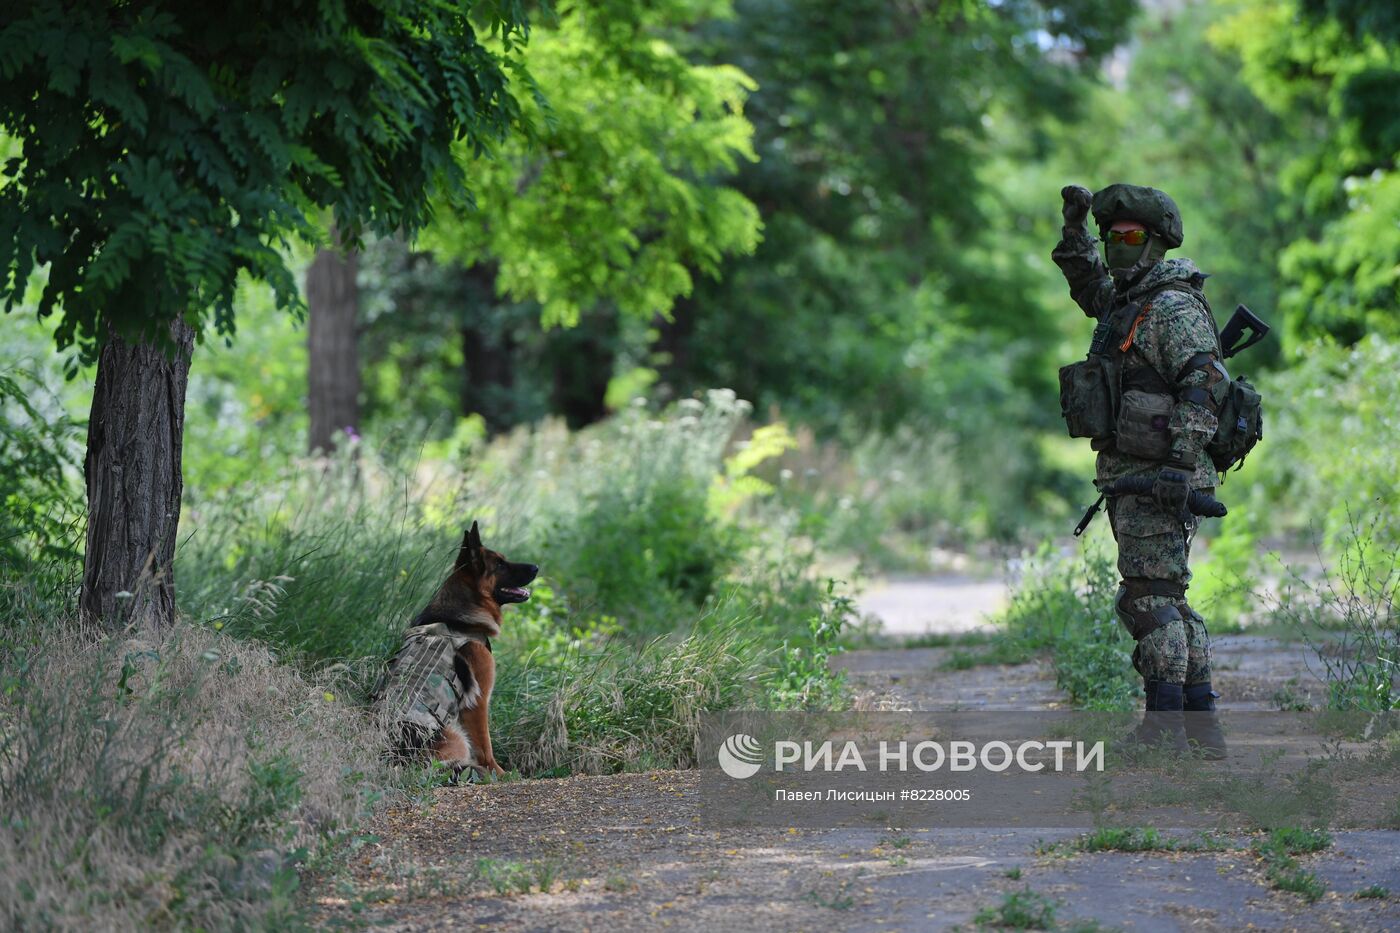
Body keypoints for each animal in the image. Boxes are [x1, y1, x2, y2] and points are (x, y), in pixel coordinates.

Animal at [375, 523, 537, 778]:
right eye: (500, 564)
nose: (536, 567)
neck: (459, 622)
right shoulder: (478, 702)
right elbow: (485, 745)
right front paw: (500, 774)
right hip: (455, 734)